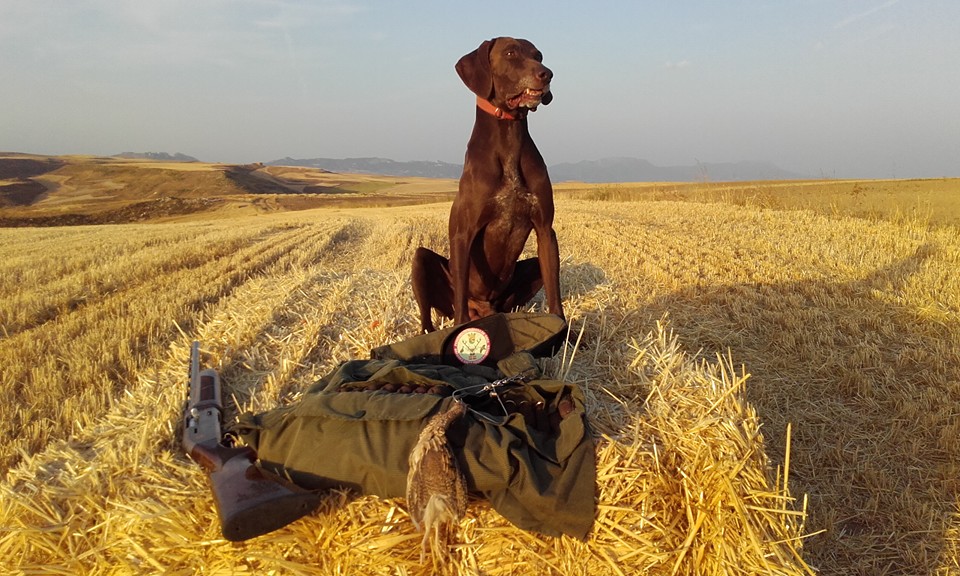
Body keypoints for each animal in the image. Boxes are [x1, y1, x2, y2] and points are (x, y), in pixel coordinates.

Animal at [410, 37, 564, 332]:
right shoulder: (463, 234)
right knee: (429, 314)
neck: (509, 140)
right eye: (510, 53)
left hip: (527, 273)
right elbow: (459, 300)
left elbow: (555, 296)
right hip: (420, 260)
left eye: (538, 55)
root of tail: (482, 309)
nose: (547, 74)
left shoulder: (545, 230)